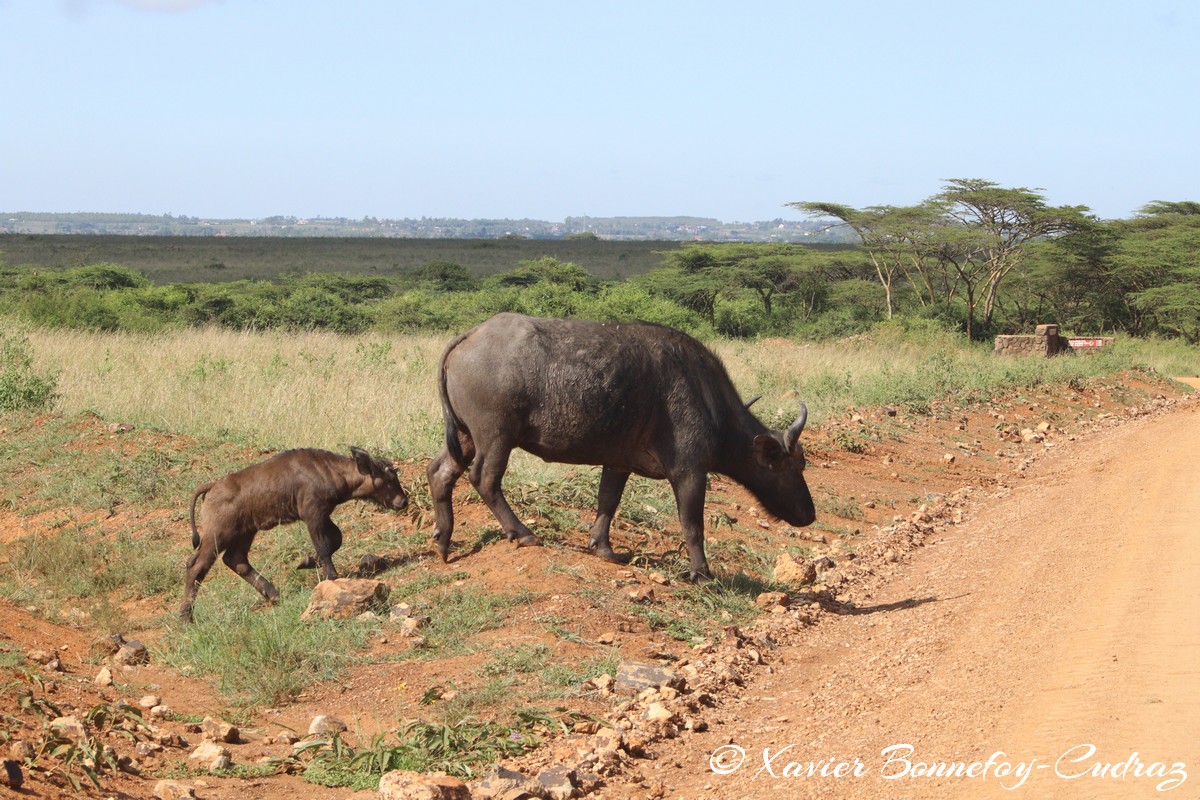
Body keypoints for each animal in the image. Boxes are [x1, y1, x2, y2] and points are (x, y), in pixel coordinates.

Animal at [180, 448, 410, 623]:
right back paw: (186, 617)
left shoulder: (323, 514)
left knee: (236, 560)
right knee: (197, 566)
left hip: (245, 533)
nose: (403, 501)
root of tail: (214, 486)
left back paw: (274, 595)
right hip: (217, 536)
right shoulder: (312, 514)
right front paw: (331, 575)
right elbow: (324, 546)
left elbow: (336, 539)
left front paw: (306, 561)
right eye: (388, 479)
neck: (328, 470)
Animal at [424, 311, 816, 582]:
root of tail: (470, 335)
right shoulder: (689, 471)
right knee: (485, 479)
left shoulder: (618, 463)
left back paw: (443, 539)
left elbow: (607, 502)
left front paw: (603, 548)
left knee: (440, 472)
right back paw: (522, 533)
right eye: (792, 467)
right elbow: (692, 524)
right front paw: (702, 573)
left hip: (465, 437)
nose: (810, 514)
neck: (708, 399)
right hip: (496, 438)